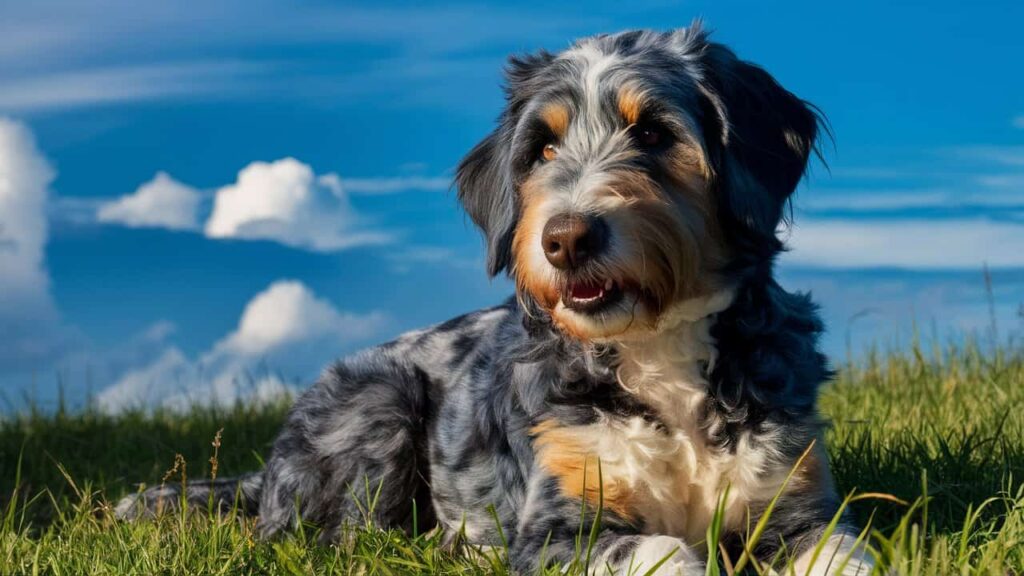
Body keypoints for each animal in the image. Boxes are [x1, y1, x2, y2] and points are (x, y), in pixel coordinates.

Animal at [117, 23, 872, 573]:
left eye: (655, 132)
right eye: (542, 149)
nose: (566, 238)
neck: (656, 353)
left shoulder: (798, 507)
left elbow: (846, 553)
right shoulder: (556, 526)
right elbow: (662, 551)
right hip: (381, 401)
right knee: (334, 538)